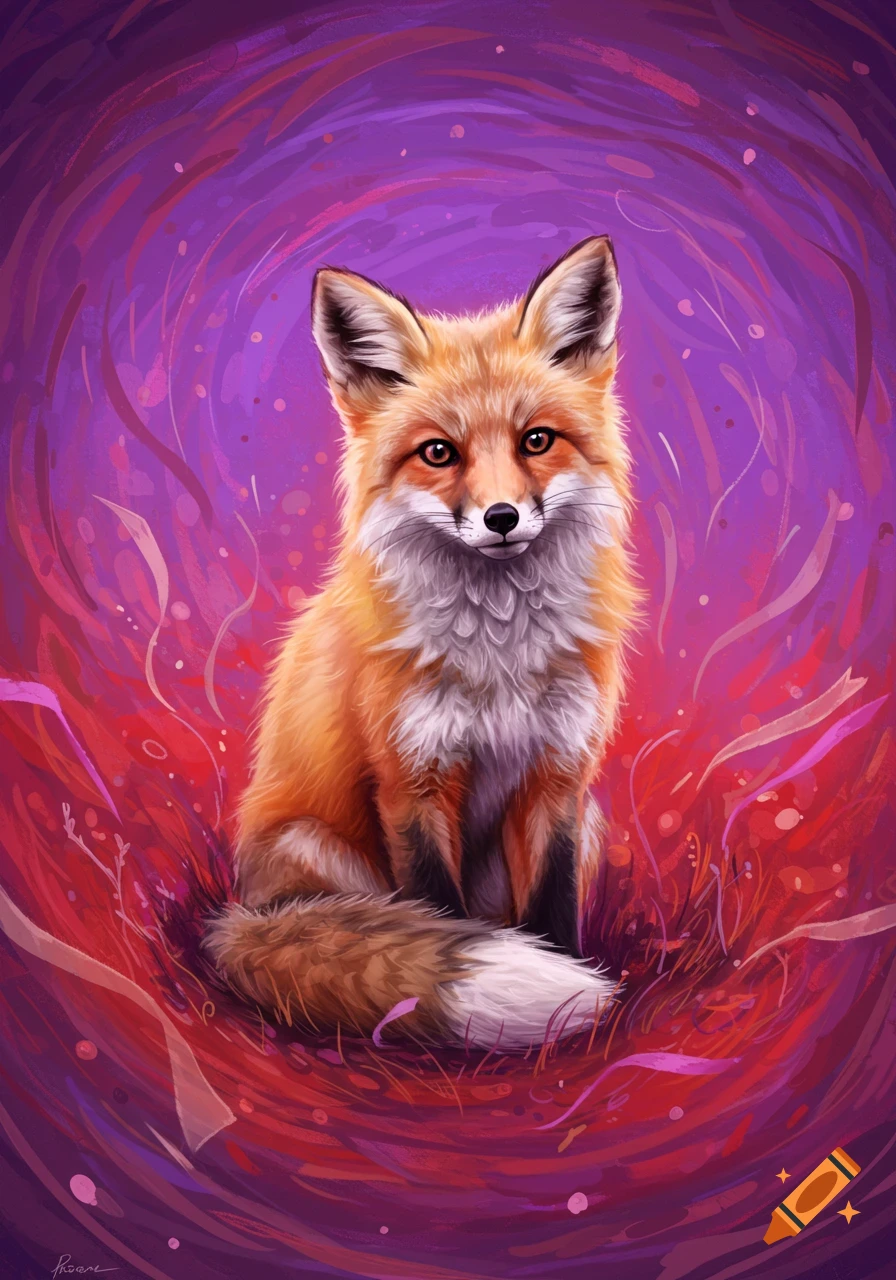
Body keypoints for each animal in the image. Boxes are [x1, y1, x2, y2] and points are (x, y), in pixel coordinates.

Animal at [204, 235, 640, 1049]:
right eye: (439, 453)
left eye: (537, 440)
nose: (502, 518)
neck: (500, 654)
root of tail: (241, 915)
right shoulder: (411, 781)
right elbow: (436, 912)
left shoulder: (559, 780)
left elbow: (553, 912)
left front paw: (569, 1009)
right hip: (318, 850)